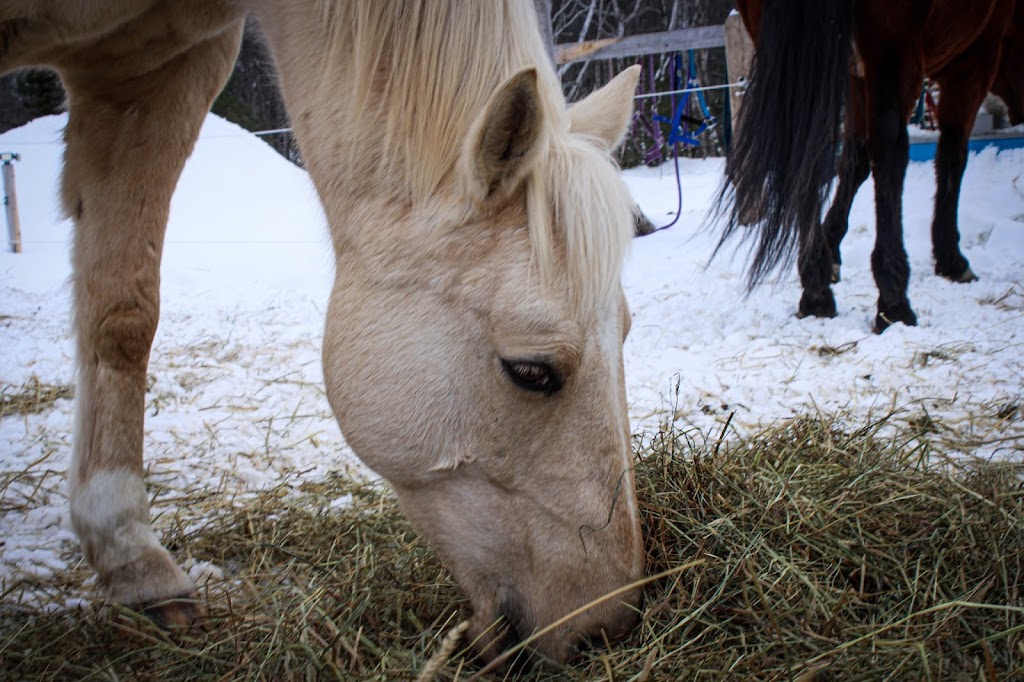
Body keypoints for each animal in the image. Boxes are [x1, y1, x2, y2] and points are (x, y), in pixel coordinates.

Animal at [720, 0, 1015, 331]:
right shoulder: (976, 58)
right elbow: (951, 156)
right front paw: (951, 259)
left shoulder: (853, 74)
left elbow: (855, 159)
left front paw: (830, 253)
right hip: (891, 43)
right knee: (889, 147)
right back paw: (894, 303)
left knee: (806, 150)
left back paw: (816, 292)